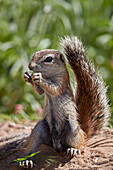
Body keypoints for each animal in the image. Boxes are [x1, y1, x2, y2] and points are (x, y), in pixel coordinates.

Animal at [0, 36, 109, 169]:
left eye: (48, 59)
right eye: (34, 55)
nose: (30, 66)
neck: (48, 75)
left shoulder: (61, 82)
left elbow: (54, 88)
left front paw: (39, 78)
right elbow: (39, 92)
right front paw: (28, 77)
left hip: (73, 128)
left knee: (78, 145)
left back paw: (74, 149)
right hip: (41, 128)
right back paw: (27, 160)